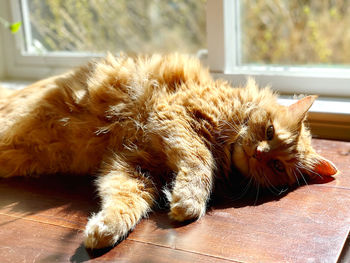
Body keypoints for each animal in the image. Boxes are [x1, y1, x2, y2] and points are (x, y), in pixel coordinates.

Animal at [0, 54, 338, 250]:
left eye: (278, 166)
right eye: (269, 132)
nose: (258, 152)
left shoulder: (135, 169)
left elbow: (125, 203)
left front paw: (105, 230)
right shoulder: (176, 117)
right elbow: (200, 160)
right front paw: (189, 201)